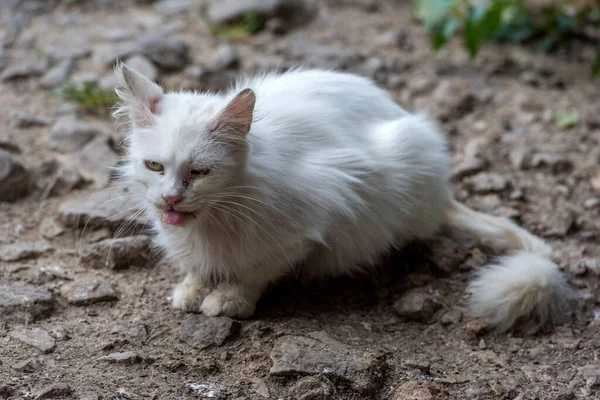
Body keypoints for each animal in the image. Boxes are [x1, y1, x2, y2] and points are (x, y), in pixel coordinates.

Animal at [113, 63, 572, 332]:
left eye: (199, 172)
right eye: (154, 167)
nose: (171, 200)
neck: (213, 219)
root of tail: (444, 189)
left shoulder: (313, 219)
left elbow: (254, 270)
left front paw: (228, 299)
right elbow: (196, 266)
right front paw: (192, 290)